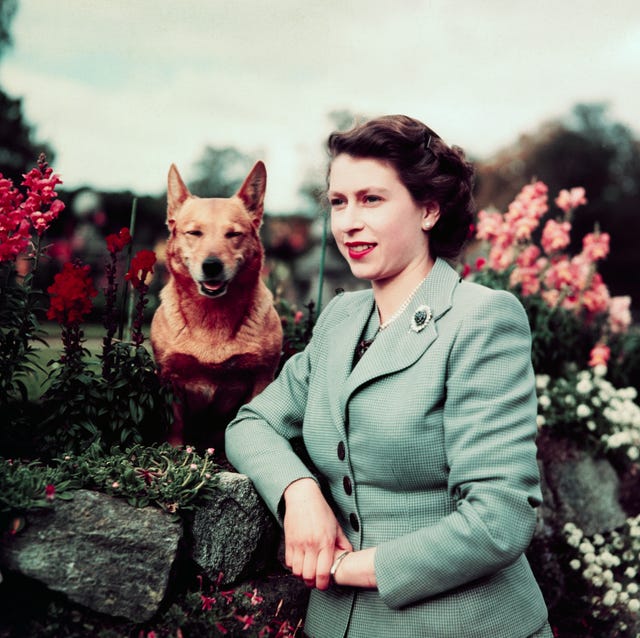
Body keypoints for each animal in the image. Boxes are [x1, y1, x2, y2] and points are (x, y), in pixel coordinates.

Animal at [152, 160, 282, 450]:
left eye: (233, 234)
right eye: (194, 233)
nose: (212, 265)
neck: (212, 316)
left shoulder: (262, 377)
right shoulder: (170, 377)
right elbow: (174, 425)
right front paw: (174, 452)